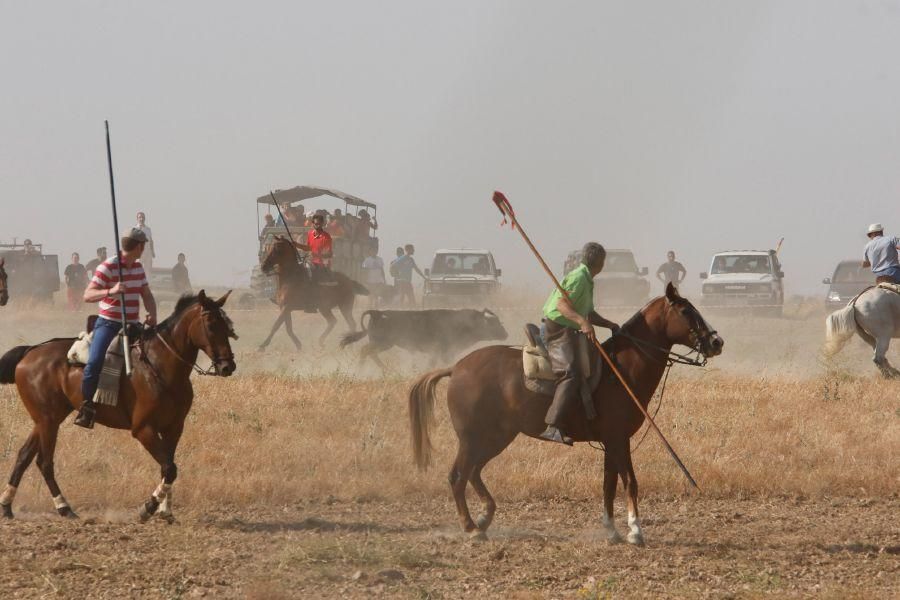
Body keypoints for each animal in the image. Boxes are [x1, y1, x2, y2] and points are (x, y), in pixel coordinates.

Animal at [0, 290, 237, 520]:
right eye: (211, 324)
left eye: (227, 326)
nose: (228, 366)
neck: (159, 367)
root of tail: (30, 351)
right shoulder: (143, 429)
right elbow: (170, 468)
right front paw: (148, 508)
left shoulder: (174, 428)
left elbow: (168, 467)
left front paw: (165, 511)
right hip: (48, 421)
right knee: (45, 462)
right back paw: (64, 508)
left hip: (47, 419)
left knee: (24, 456)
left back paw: (7, 506)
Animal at [408, 284, 724, 544]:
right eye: (685, 310)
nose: (716, 342)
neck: (620, 370)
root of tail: (456, 368)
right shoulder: (619, 439)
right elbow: (630, 481)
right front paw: (635, 531)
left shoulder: (611, 442)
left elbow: (609, 485)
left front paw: (612, 530)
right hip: (472, 438)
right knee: (457, 476)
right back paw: (472, 528)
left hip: (497, 436)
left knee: (473, 472)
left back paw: (485, 517)